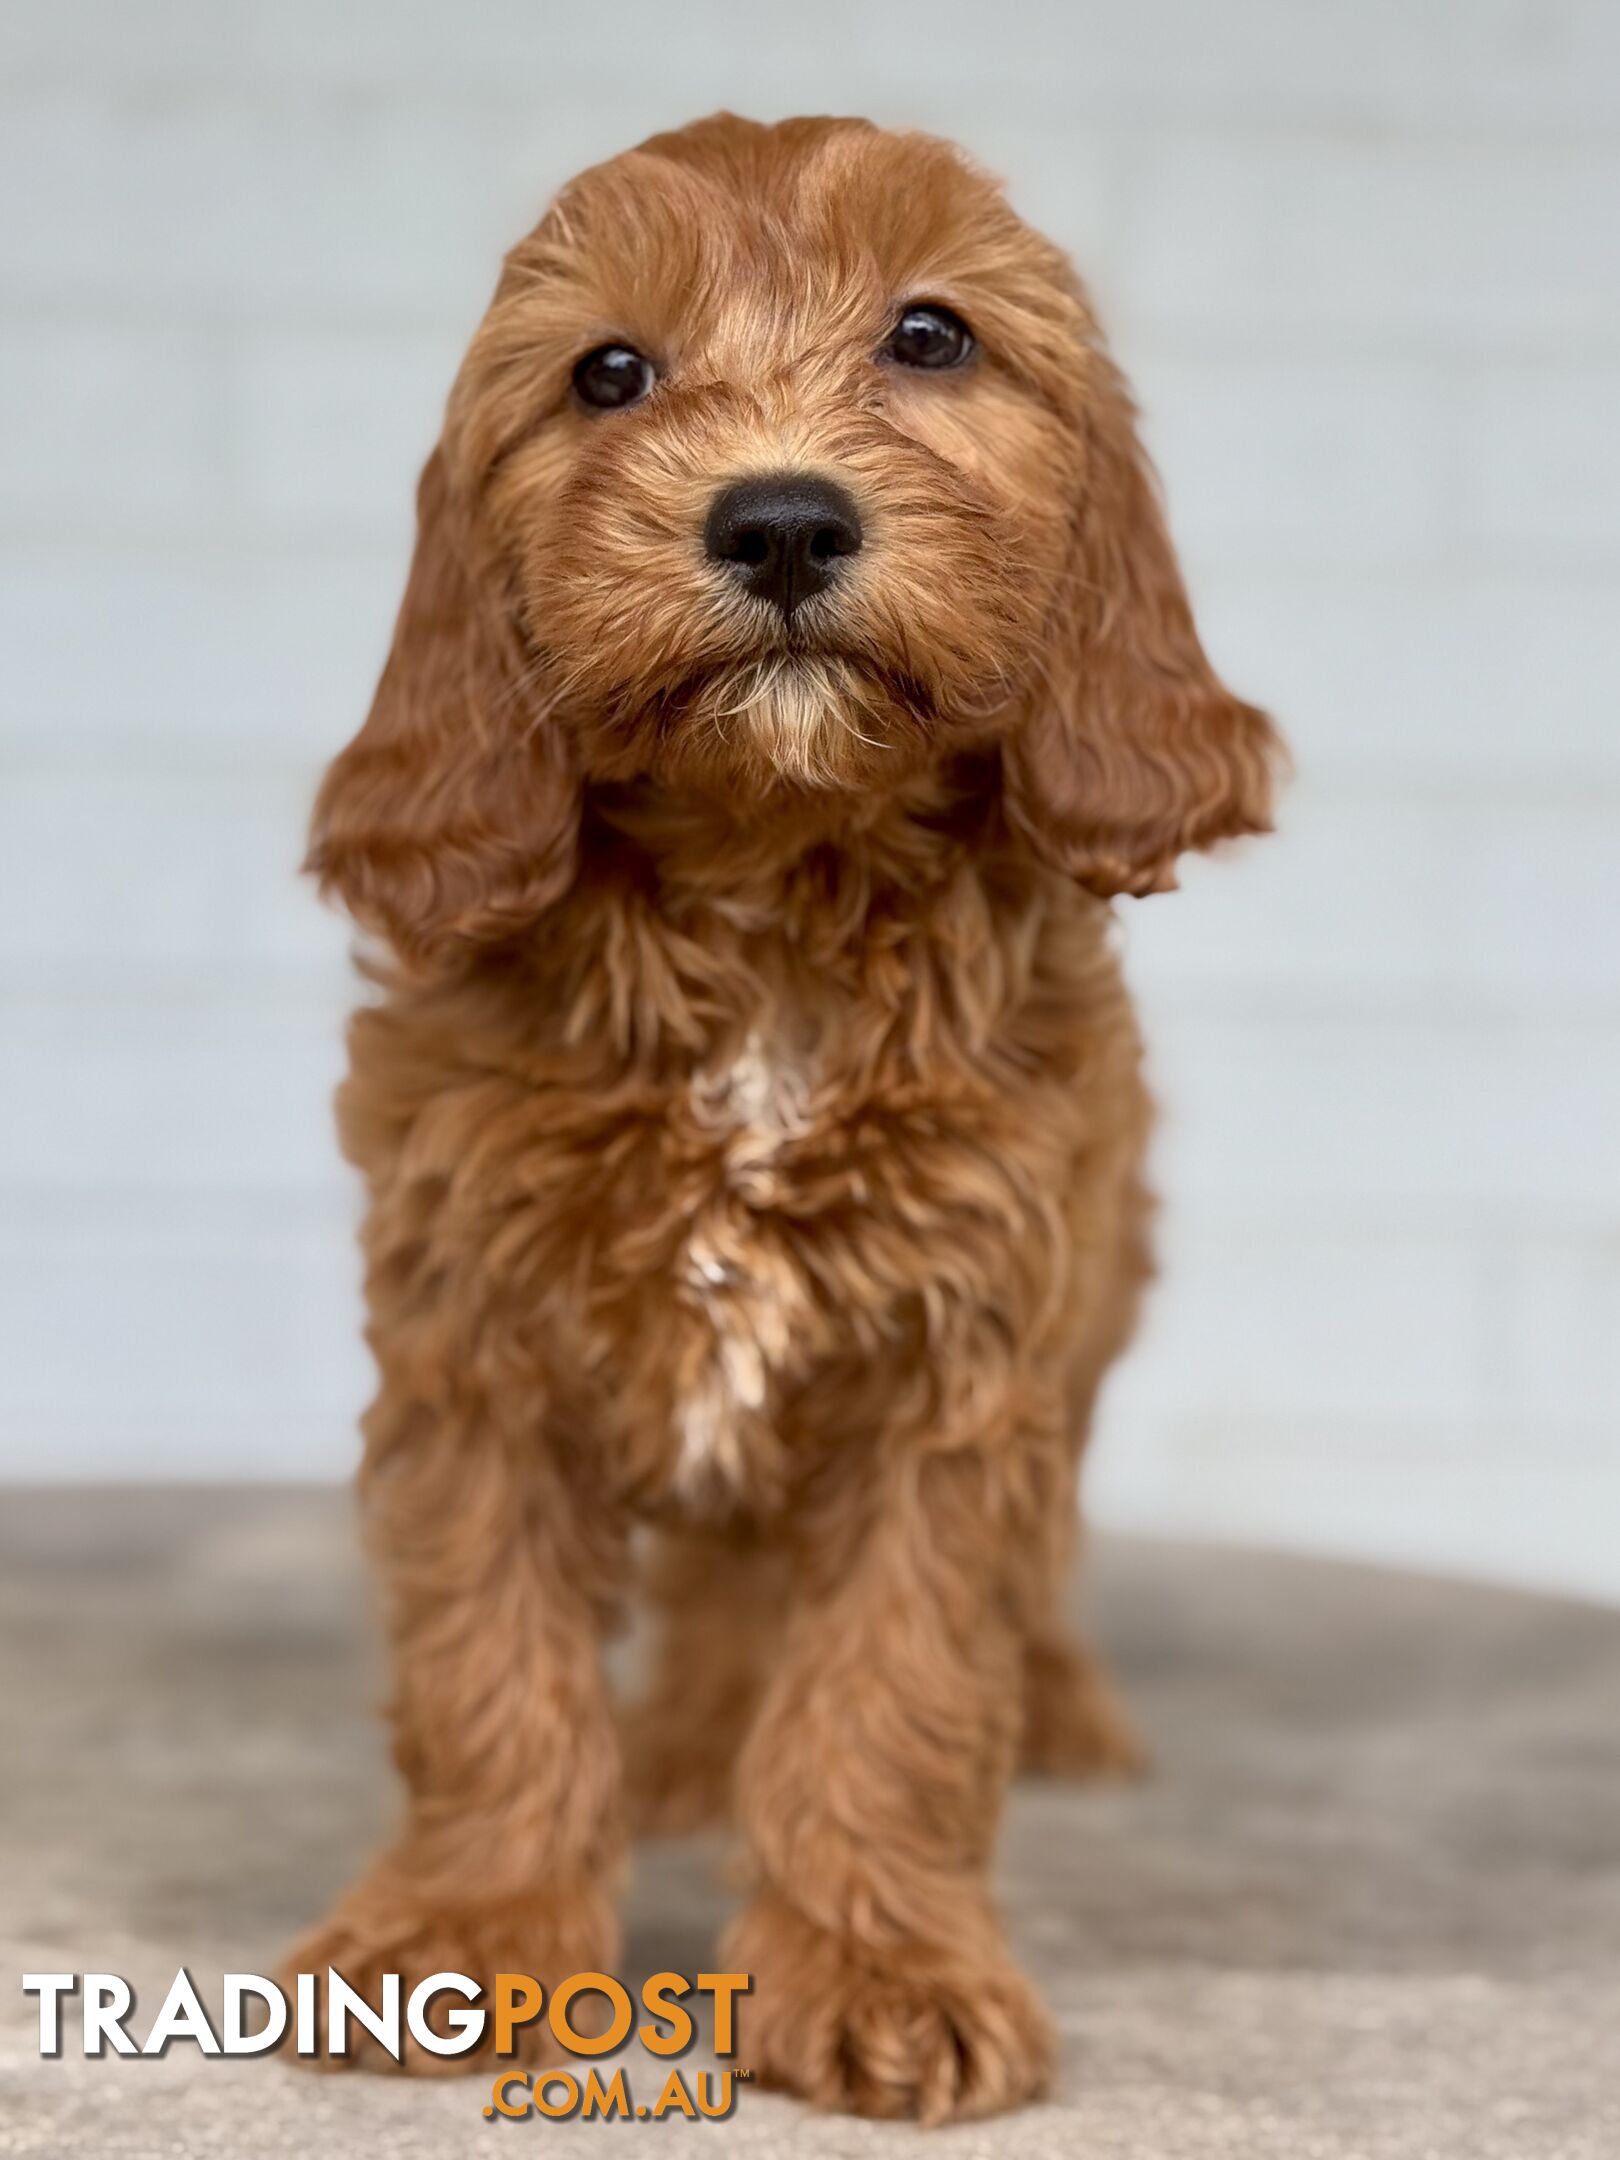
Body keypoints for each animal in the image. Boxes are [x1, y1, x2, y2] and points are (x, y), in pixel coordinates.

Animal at [289, 109, 1278, 2116]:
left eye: (931, 336)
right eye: (608, 373)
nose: (781, 519)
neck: (770, 897)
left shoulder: (960, 1359)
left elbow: (898, 1684)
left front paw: (884, 1968)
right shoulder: (472, 1340)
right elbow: (485, 1660)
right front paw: (464, 1935)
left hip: (1094, 1291)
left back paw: (1052, 1708)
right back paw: (682, 1747)